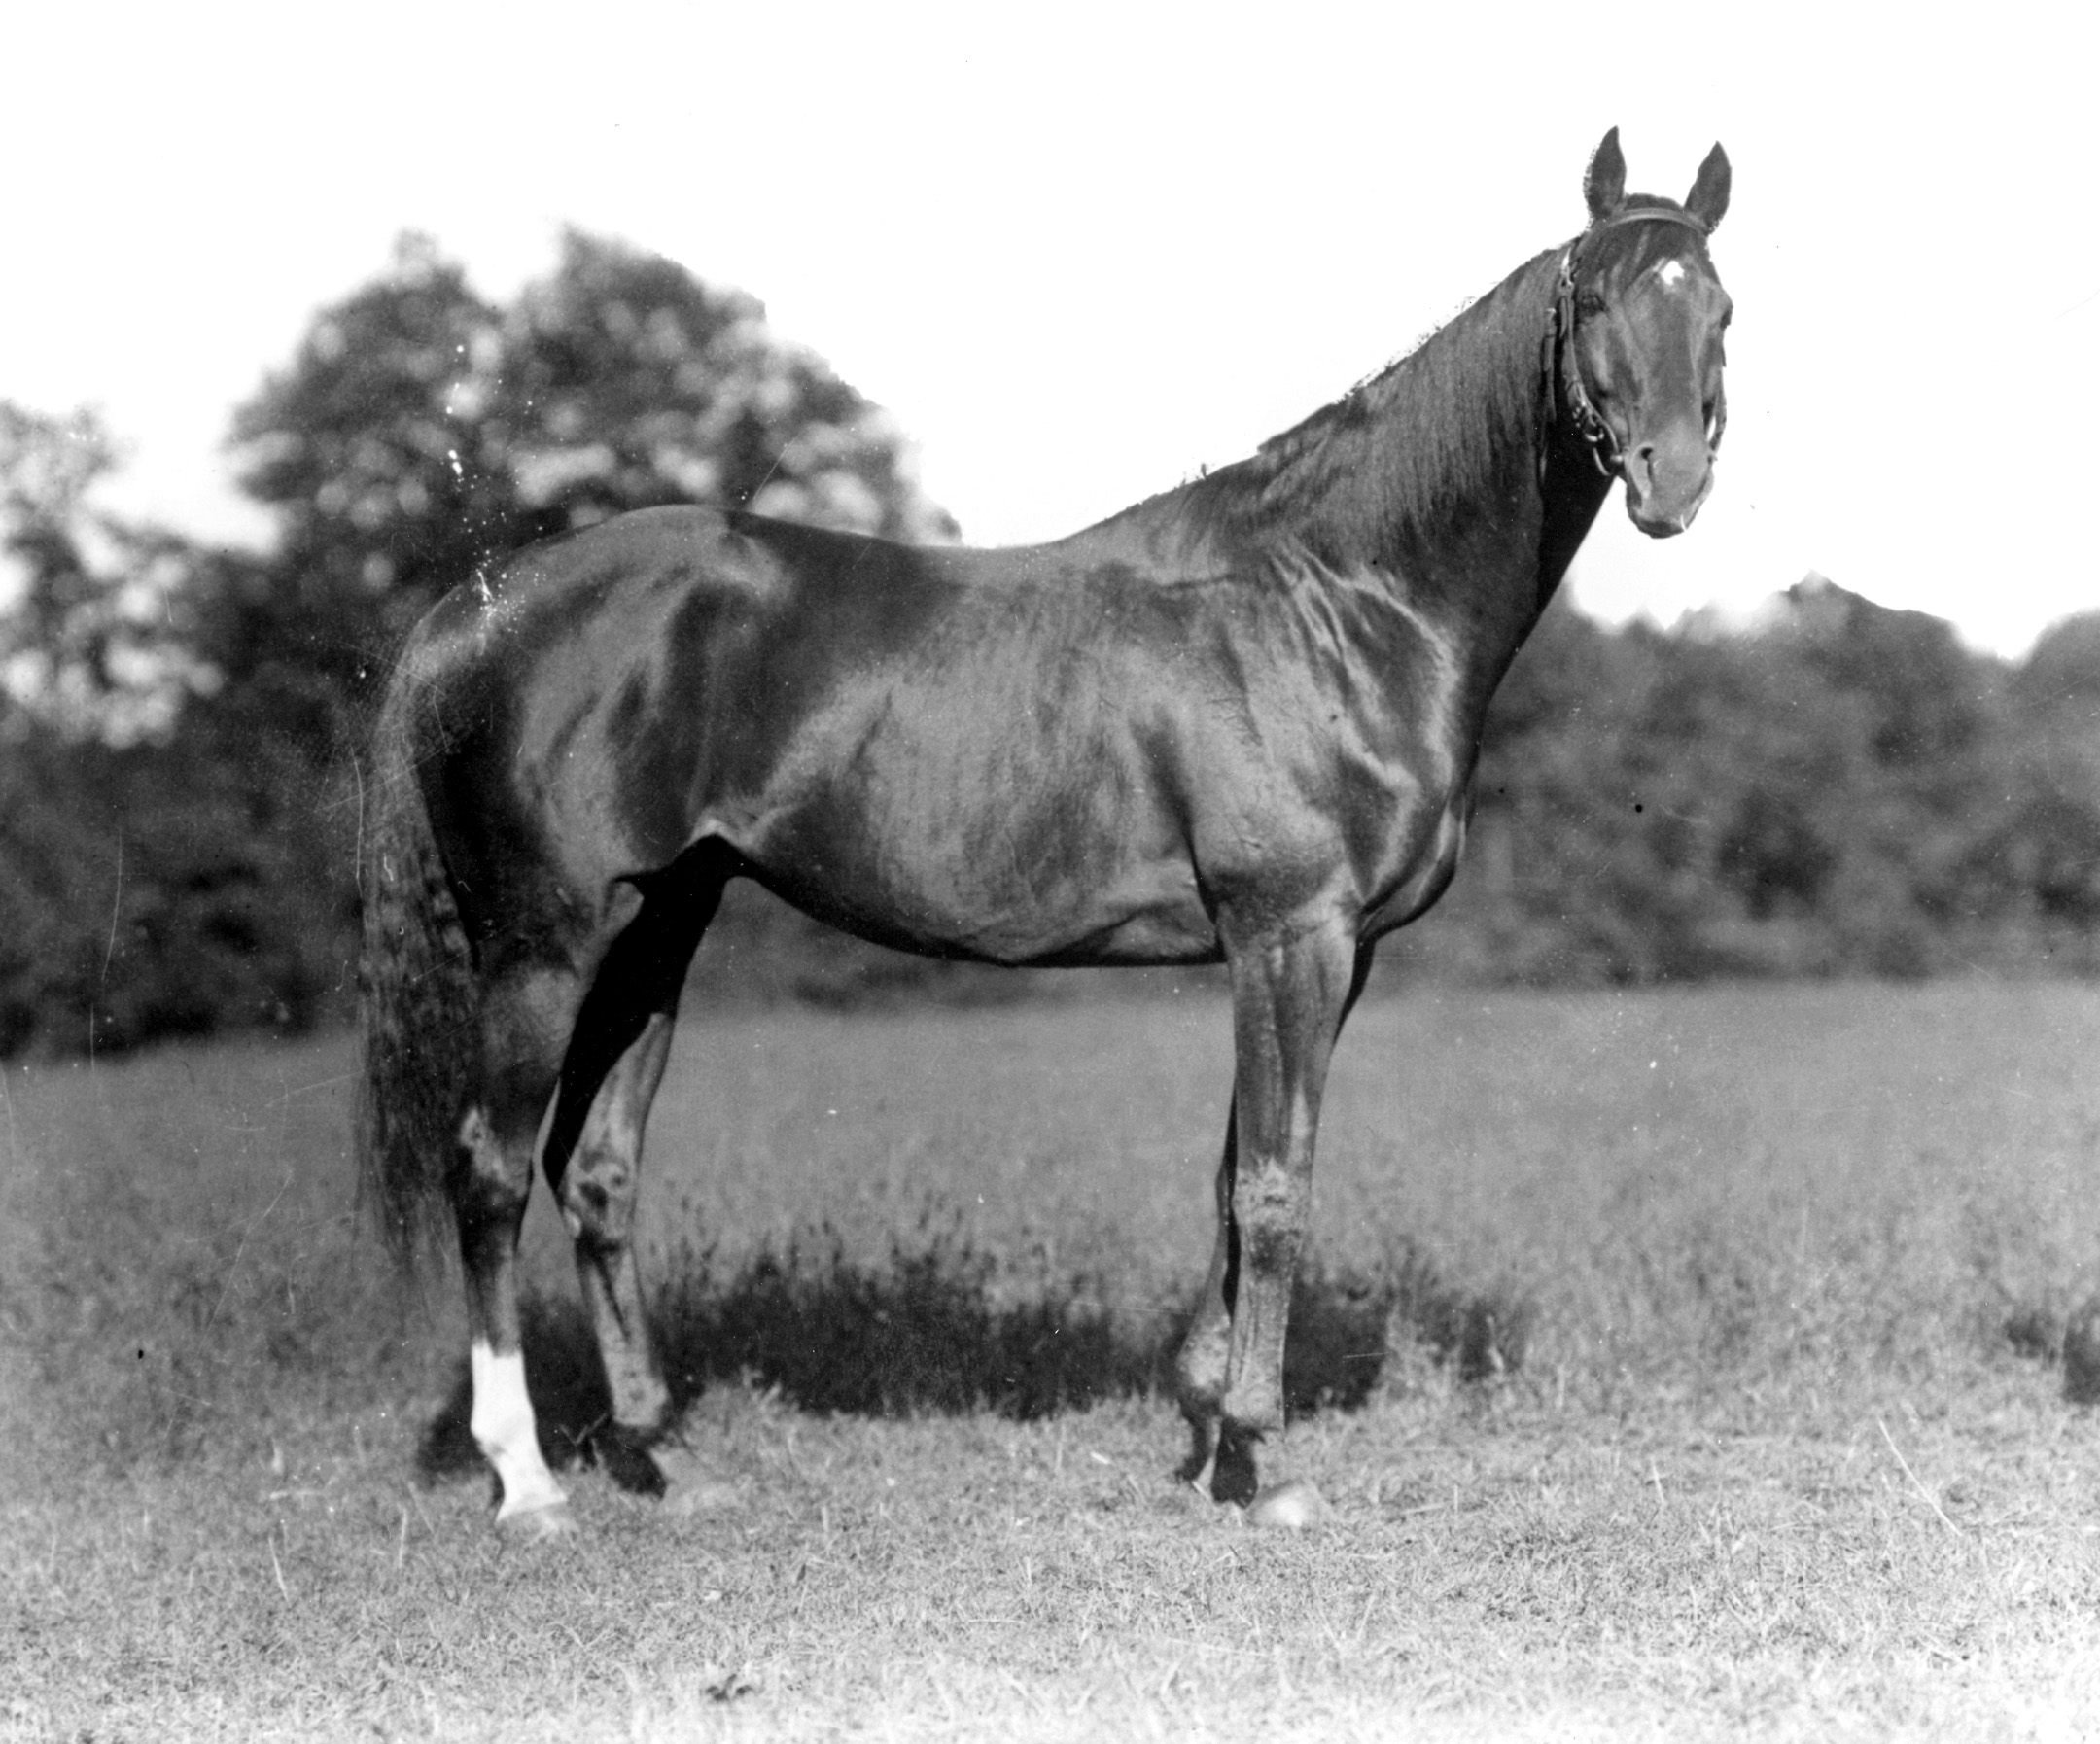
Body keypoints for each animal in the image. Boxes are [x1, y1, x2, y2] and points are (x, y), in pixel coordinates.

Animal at [361, 129, 1738, 1536]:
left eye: (1723, 311)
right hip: (545, 945)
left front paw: (1207, 1425)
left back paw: (662, 1454)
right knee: (486, 1169)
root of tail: (476, 607)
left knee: (596, 1169)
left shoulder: (1319, 951)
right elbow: (1276, 1188)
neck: (1341, 596)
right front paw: (1263, 1457)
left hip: (657, 930)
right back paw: (528, 1480)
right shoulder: (1288, 933)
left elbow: (1234, 1179)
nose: (1674, 483)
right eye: (1597, 299)